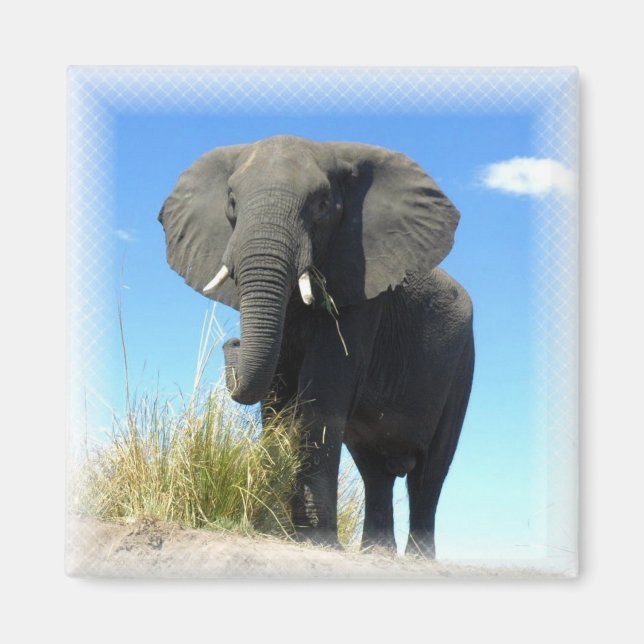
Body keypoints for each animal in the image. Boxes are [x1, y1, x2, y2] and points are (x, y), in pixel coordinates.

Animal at [158, 135, 474, 557]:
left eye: (323, 206)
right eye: (231, 202)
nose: (233, 341)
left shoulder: (362, 287)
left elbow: (323, 389)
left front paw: (314, 540)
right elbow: (276, 393)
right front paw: (276, 529)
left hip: (462, 361)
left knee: (430, 470)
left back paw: (418, 560)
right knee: (374, 469)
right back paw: (375, 553)